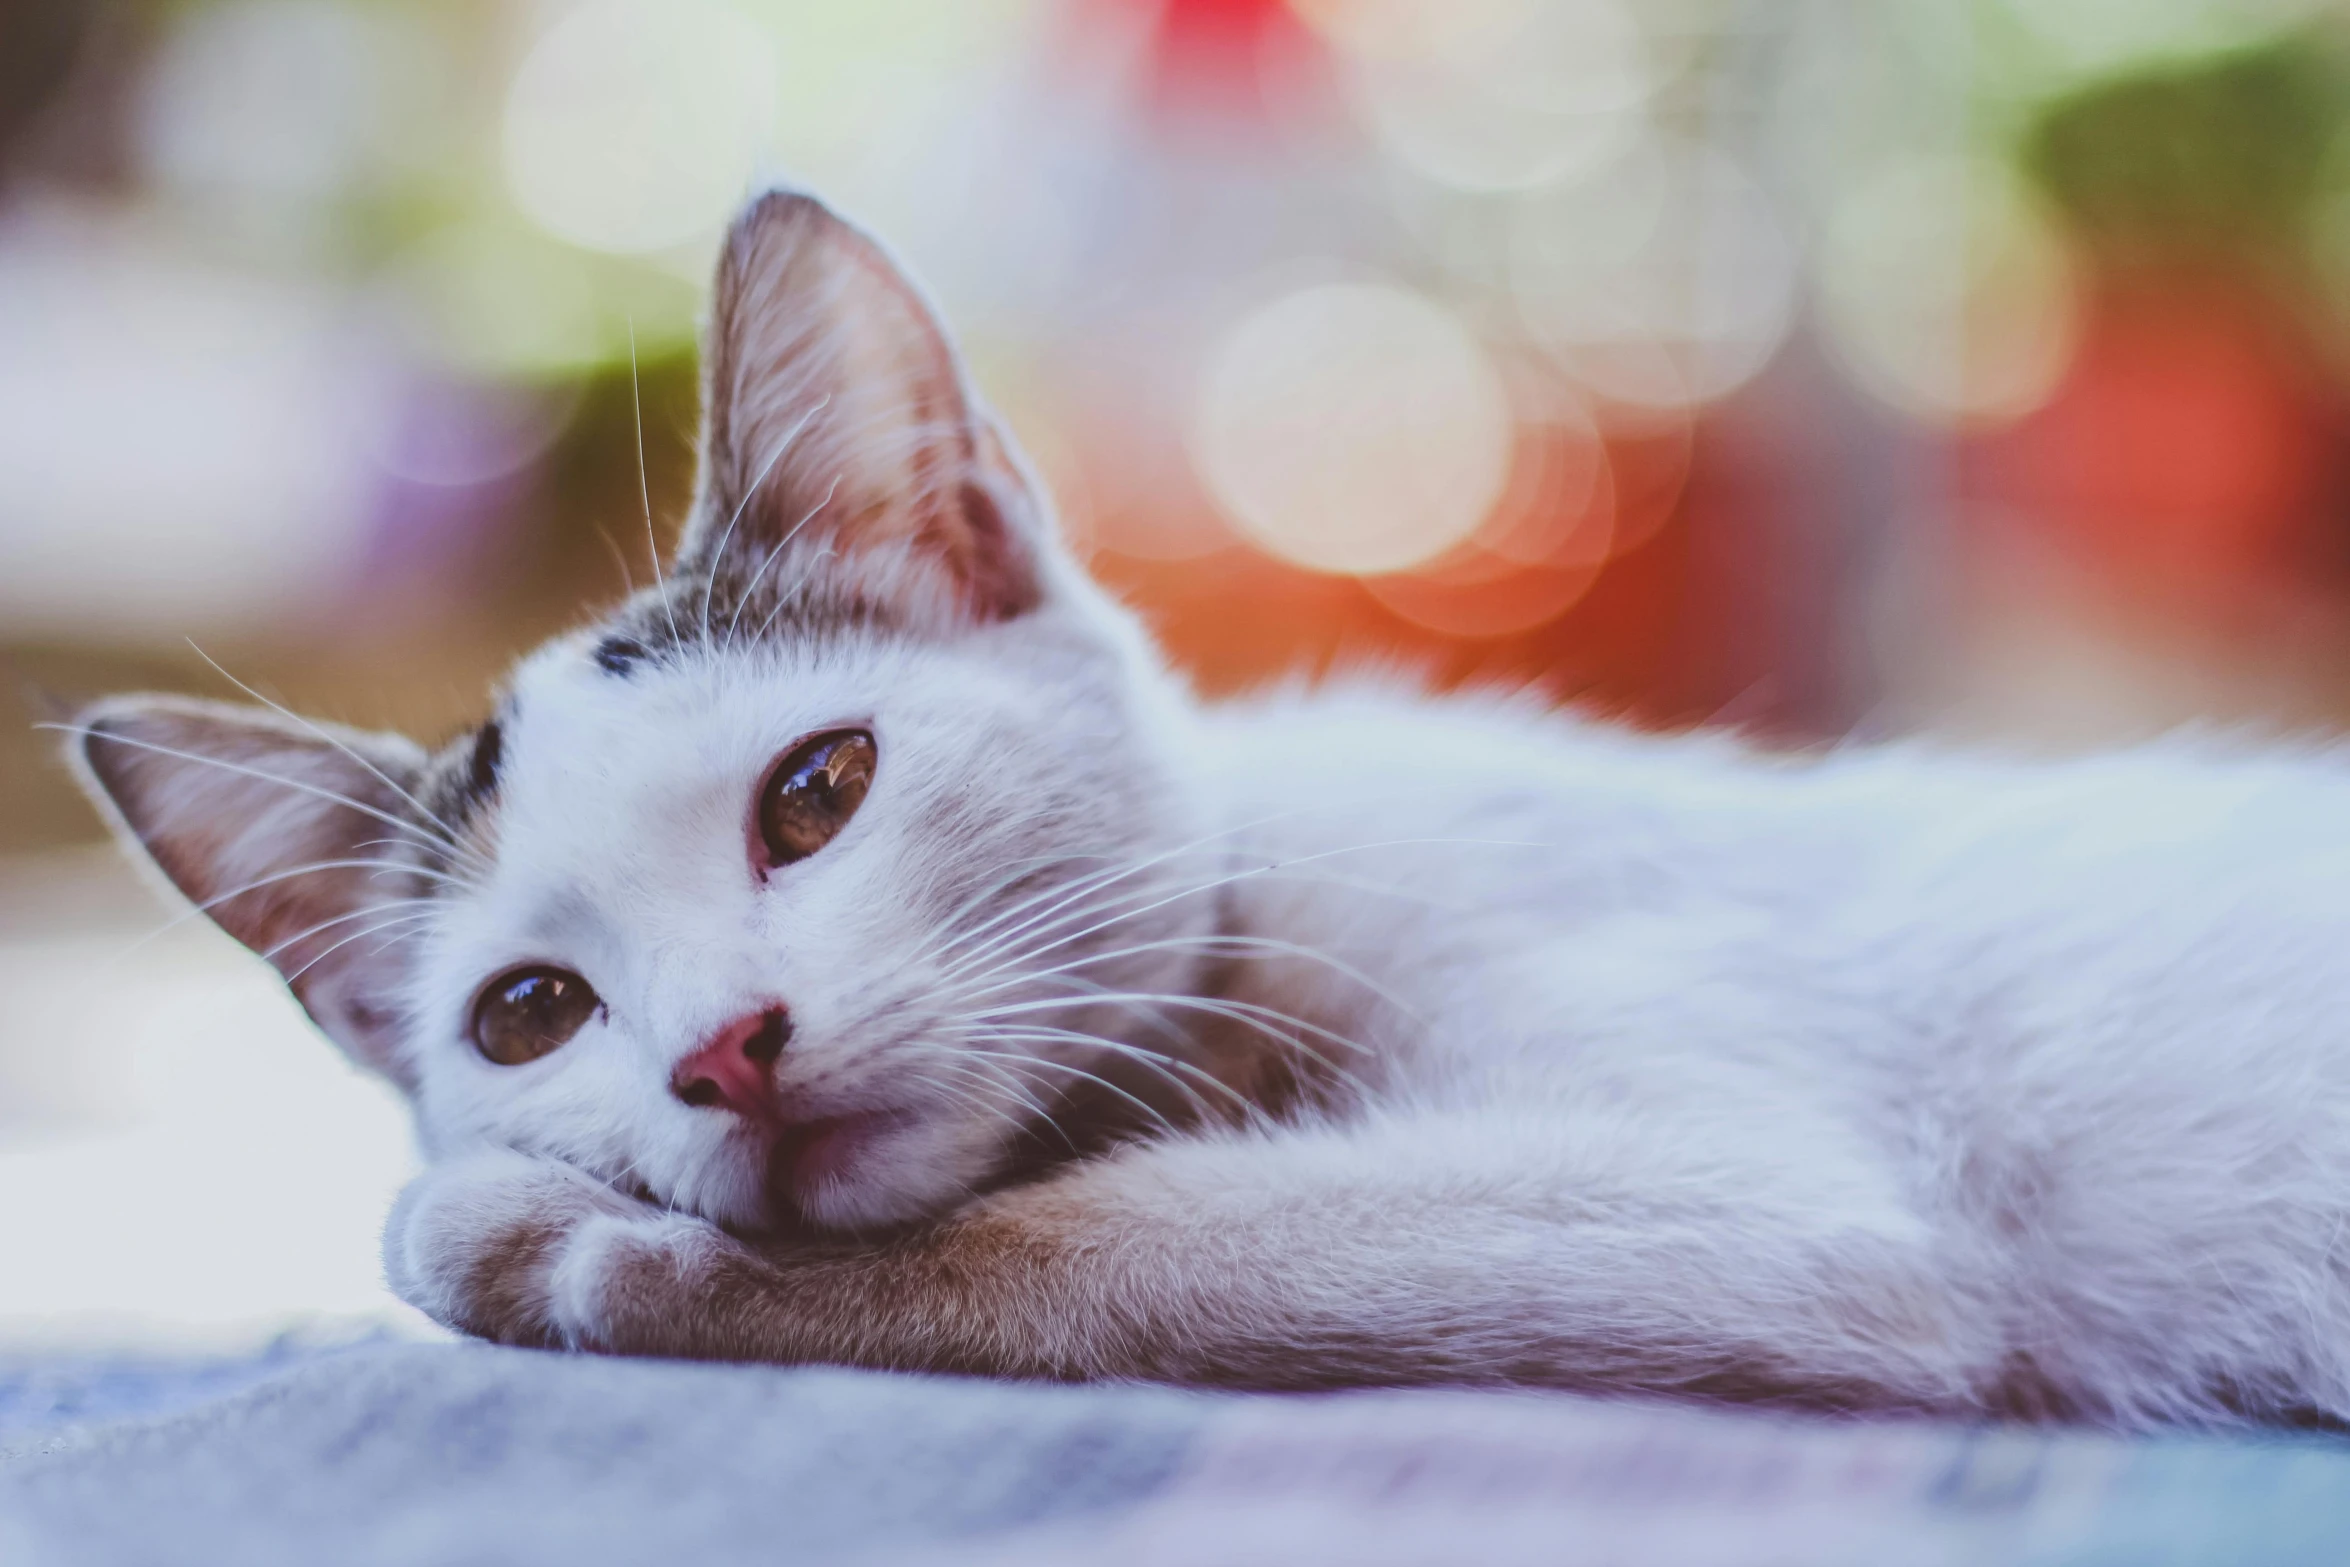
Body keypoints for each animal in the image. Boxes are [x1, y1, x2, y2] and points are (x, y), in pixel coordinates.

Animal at [55, 186, 2350, 1437]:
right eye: (528, 1013)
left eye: (818, 790)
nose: (724, 1047)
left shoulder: (1768, 1209)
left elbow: (1121, 1235)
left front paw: (546, 1243)